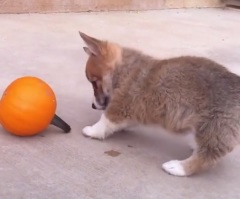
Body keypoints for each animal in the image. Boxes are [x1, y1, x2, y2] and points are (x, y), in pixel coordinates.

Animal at [79, 31, 240, 176]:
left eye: (94, 82)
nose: (93, 105)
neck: (123, 69)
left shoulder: (120, 105)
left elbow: (104, 121)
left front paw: (92, 131)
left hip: (214, 126)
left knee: (207, 156)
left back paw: (178, 167)